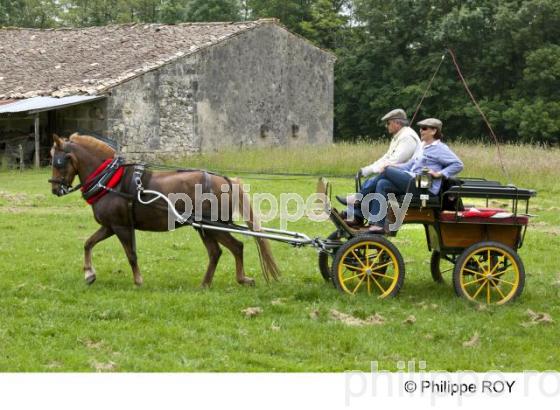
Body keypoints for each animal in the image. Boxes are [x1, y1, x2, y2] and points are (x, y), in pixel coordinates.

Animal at [49, 133, 280, 286]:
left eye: (58, 162)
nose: (55, 188)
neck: (111, 180)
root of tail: (226, 181)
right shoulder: (110, 226)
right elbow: (88, 244)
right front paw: (89, 274)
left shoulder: (121, 227)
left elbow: (131, 254)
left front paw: (138, 280)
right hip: (203, 227)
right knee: (217, 252)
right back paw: (206, 283)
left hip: (212, 226)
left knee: (236, 247)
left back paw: (239, 279)